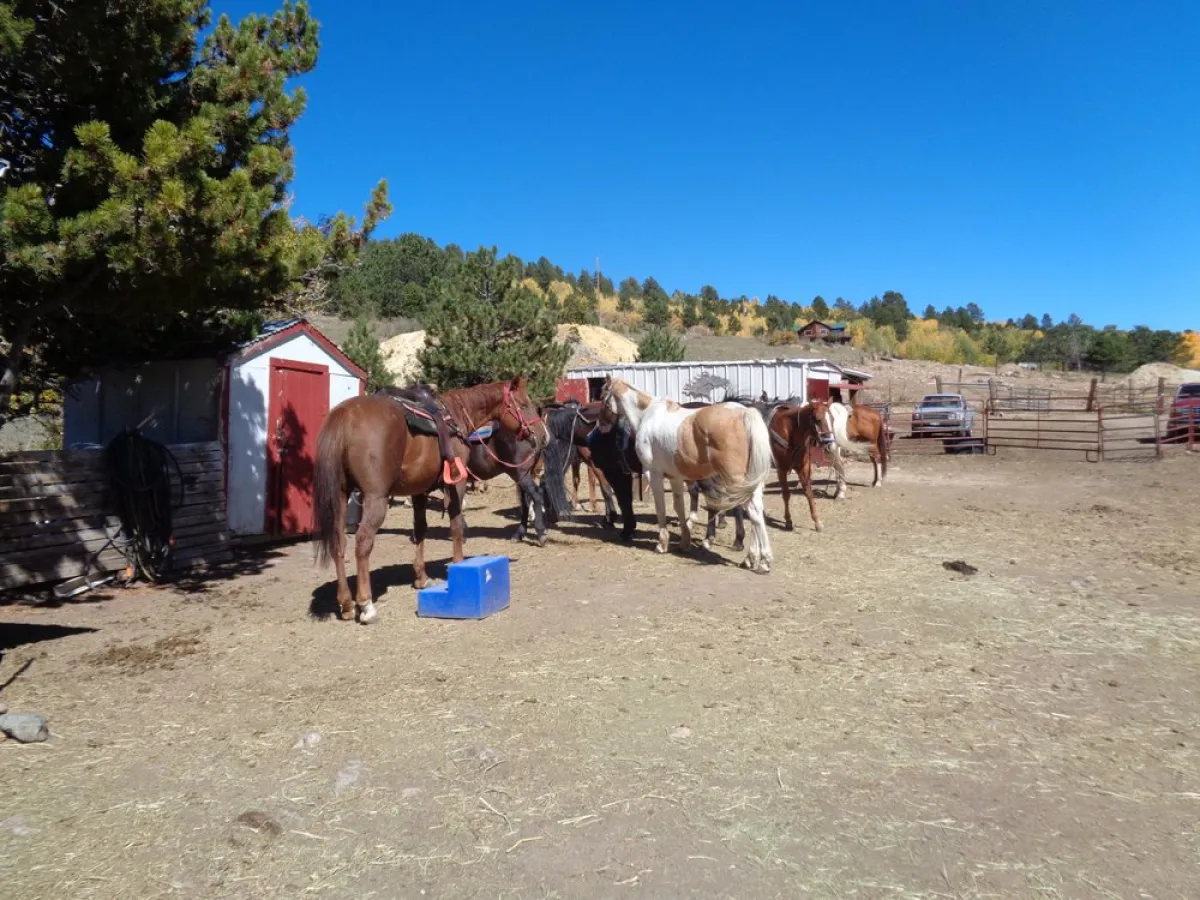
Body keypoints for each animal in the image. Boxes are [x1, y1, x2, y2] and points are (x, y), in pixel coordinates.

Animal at [313, 376, 549, 624]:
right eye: (523, 404)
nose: (543, 436)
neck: (457, 416)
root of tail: (344, 416)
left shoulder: (419, 490)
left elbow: (420, 530)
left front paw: (421, 577)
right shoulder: (456, 483)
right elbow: (456, 526)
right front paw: (459, 564)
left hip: (341, 496)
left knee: (339, 543)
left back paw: (347, 604)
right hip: (376, 498)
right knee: (363, 543)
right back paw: (366, 605)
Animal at [599, 376, 774, 573]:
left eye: (603, 395)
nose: (600, 425)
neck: (647, 415)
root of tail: (744, 413)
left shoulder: (654, 474)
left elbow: (661, 507)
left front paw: (662, 544)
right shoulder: (675, 477)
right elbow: (679, 507)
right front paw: (685, 543)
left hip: (736, 483)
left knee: (753, 513)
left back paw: (763, 561)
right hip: (751, 483)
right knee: (756, 512)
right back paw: (751, 559)